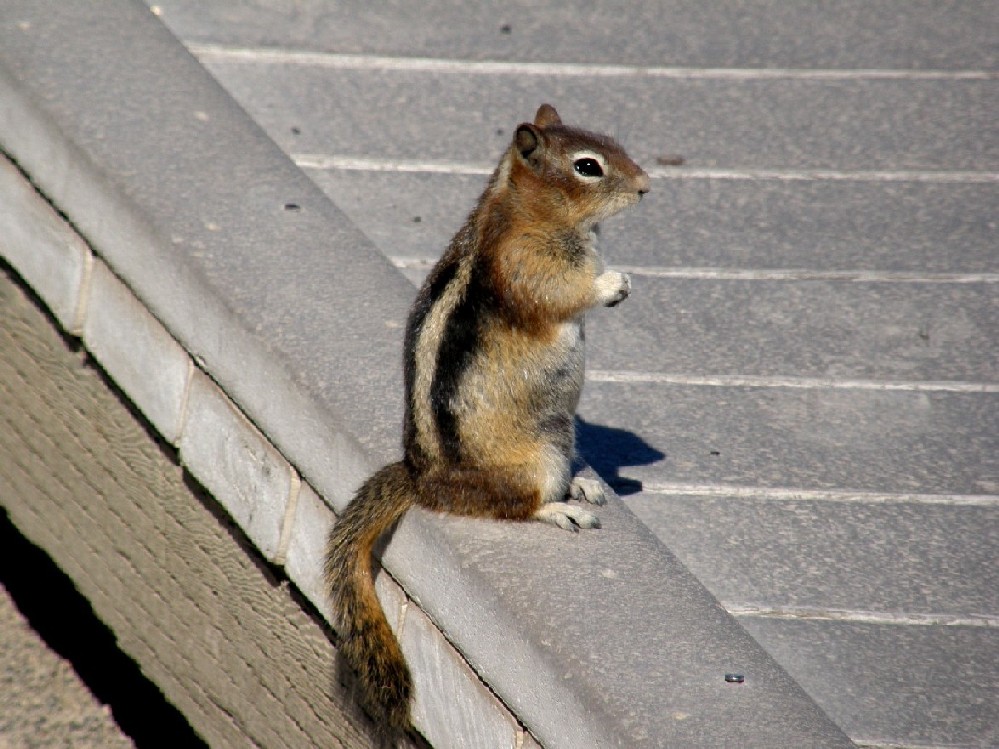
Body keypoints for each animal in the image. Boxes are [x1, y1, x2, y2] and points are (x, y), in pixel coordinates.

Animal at [326, 102, 648, 732]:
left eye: (611, 143)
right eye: (588, 166)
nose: (647, 185)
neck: (523, 207)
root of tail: (423, 480)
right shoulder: (526, 263)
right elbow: (561, 293)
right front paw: (613, 282)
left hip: (559, 434)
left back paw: (584, 481)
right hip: (535, 459)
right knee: (516, 505)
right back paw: (561, 509)